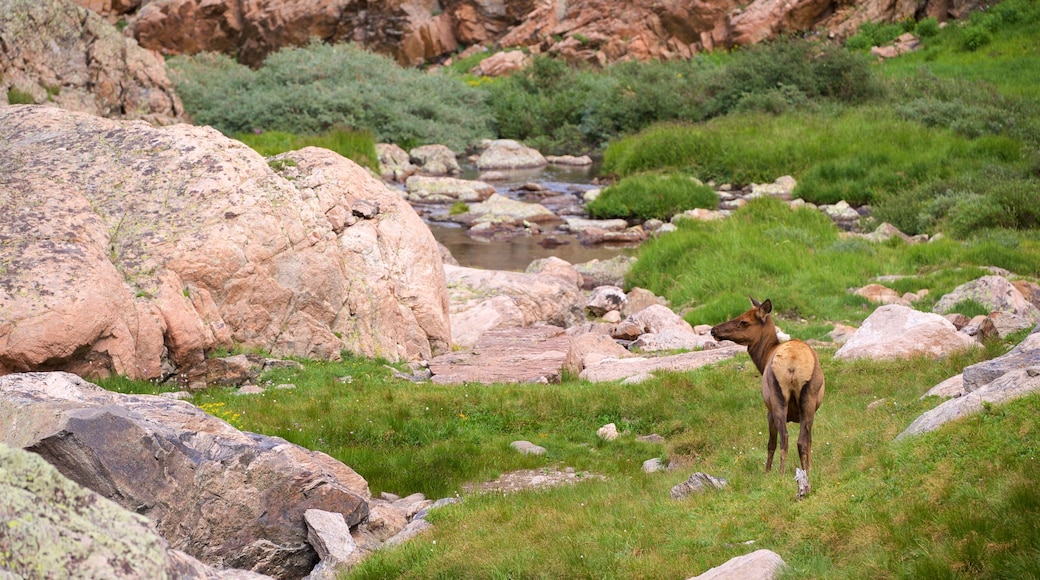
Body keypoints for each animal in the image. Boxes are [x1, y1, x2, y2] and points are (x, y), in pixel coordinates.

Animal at [711, 295, 823, 490]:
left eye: (743, 321)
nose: (713, 329)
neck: (763, 360)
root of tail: (792, 364)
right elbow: (809, 441)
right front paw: (810, 467)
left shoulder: (768, 411)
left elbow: (770, 444)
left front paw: (767, 472)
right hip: (808, 399)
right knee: (801, 441)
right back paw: (804, 472)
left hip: (776, 399)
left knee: (784, 438)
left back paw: (780, 474)